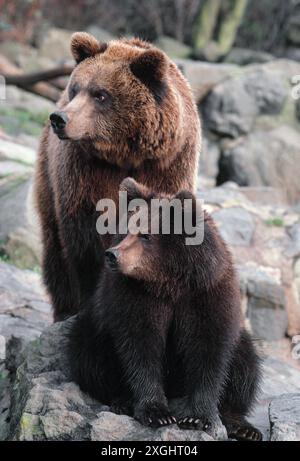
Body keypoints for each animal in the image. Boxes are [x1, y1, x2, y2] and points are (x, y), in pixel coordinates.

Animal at [34, 32, 200, 320]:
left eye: (100, 94)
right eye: (75, 89)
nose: (59, 118)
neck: (126, 154)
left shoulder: (167, 167)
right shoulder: (84, 172)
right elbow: (84, 239)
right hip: (48, 178)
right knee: (54, 250)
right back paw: (64, 309)